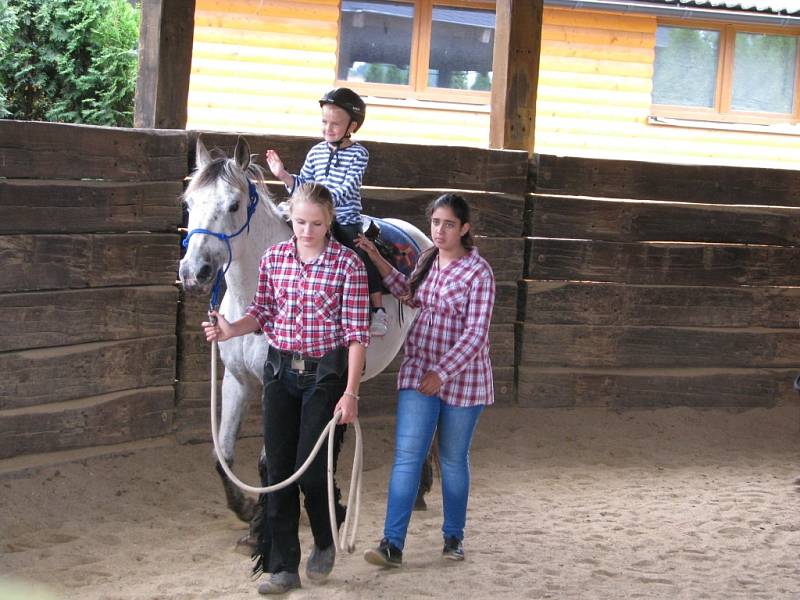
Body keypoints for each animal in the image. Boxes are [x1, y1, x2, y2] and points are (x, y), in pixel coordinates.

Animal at [179, 137, 434, 524]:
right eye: (190, 202)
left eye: (233, 204)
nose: (194, 271)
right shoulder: (237, 380)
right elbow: (222, 456)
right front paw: (246, 509)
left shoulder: (275, 385)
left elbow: (271, 463)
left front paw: (262, 522)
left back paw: (419, 488)